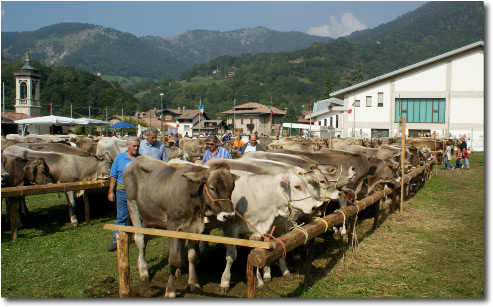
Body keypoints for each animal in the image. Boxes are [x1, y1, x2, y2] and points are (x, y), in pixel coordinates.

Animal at [124, 156, 237, 298]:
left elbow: (192, 257)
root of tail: (136, 159)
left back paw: (141, 265)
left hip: (148, 214)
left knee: (145, 237)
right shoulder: (172, 226)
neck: (190, 195)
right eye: (212, 188)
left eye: (232, 188)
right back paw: (143, 271)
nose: (229, 216)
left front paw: (194, 284)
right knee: (139, 238)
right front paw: (170, 290)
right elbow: (173, 259)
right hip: (132, 204)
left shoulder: (194, 228)